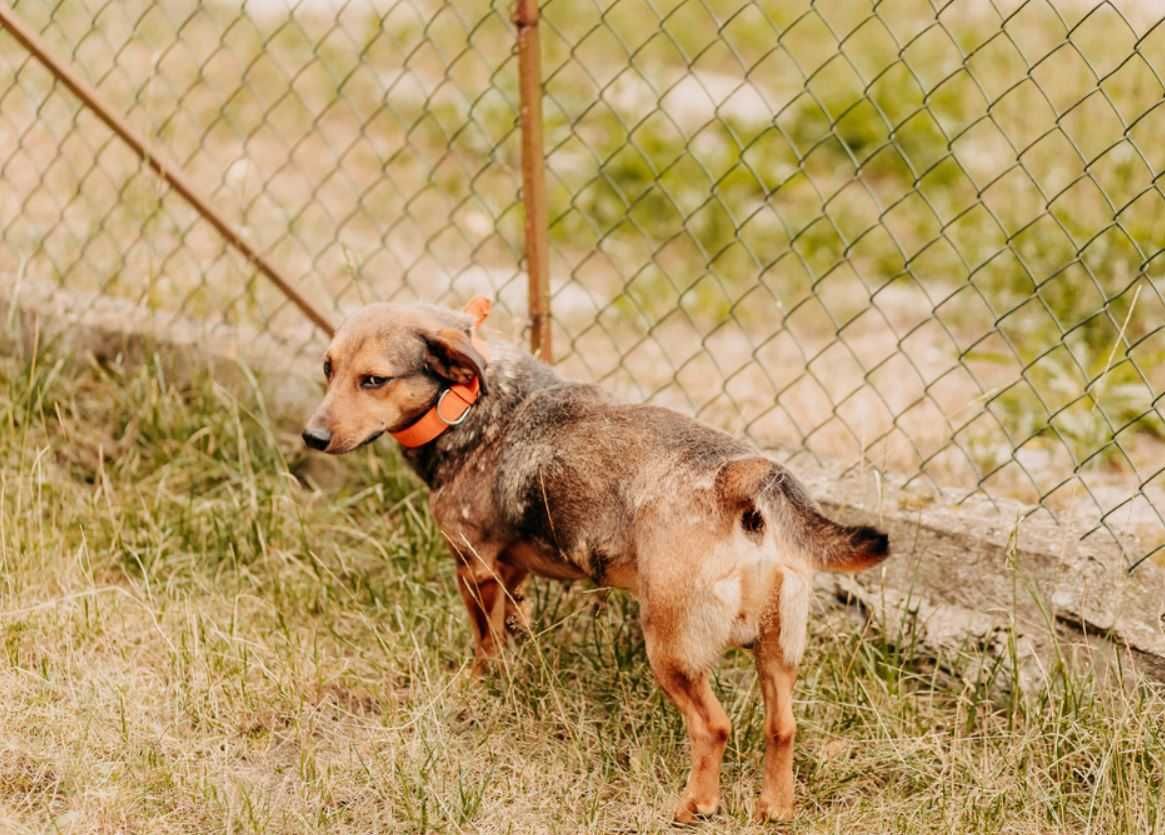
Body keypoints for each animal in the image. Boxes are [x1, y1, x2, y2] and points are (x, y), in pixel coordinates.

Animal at [302, 294, 890, 819]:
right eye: (328, 369)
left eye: (373, 380)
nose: (311, 437)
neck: (467, 403)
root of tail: (741, 478)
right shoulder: (510, 570)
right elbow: (511, 623)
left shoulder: (474, 567)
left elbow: (484, 644)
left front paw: (477, 686)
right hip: (778, 650)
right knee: (782, 727)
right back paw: (775, 807)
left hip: (671, 648)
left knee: (713, 726)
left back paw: (695, 805)